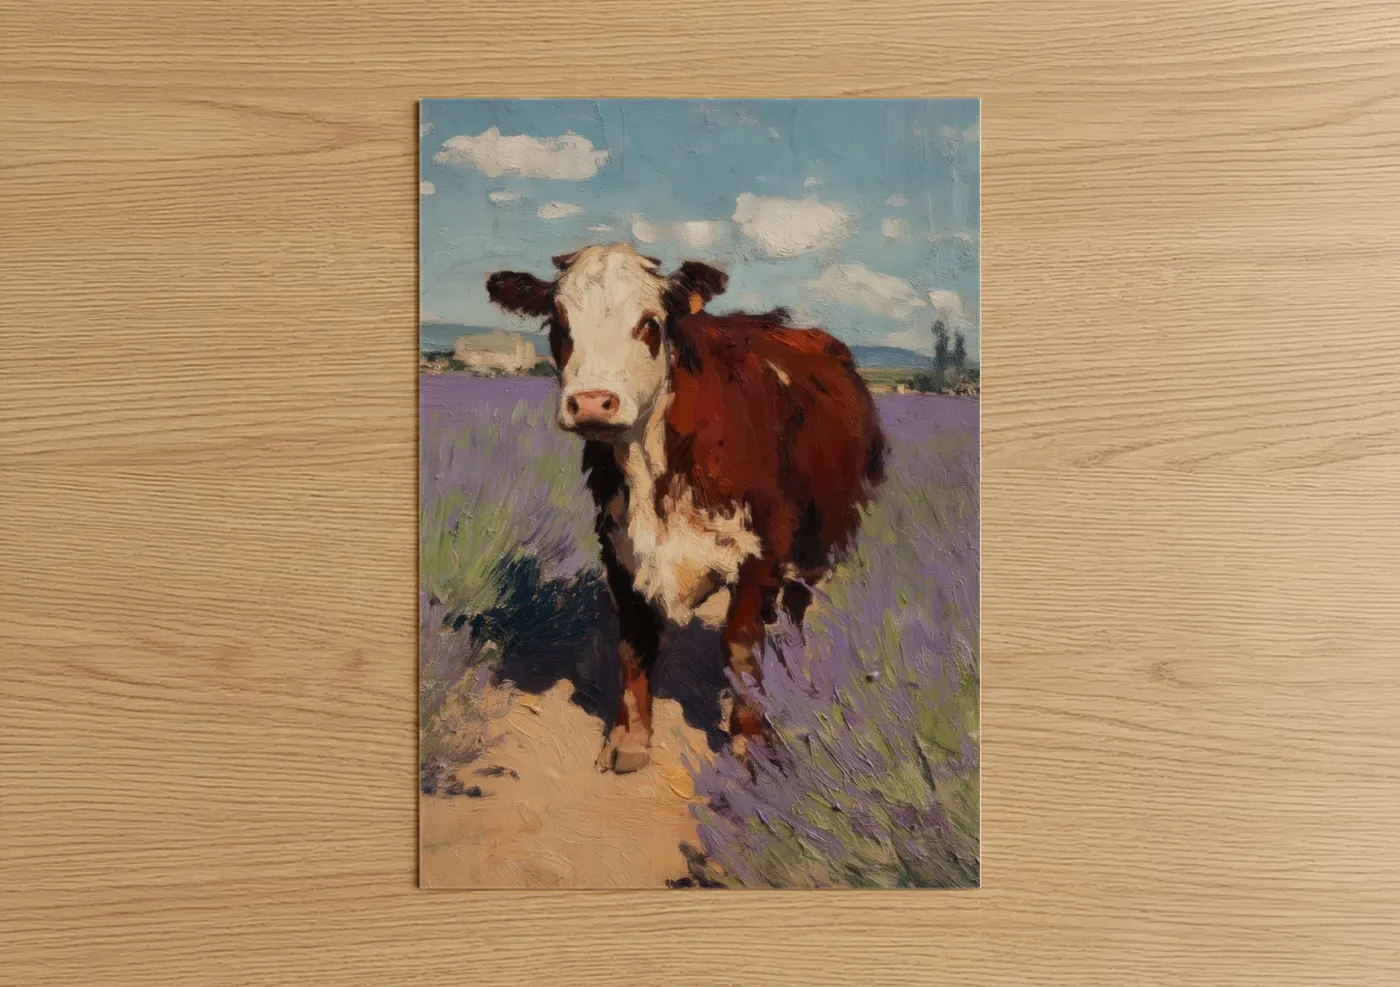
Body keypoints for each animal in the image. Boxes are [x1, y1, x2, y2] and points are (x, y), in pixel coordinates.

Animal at [486, 243, 887, 773]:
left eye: (650, 324)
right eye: (558, 323)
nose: (592, 403)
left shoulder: (763, 550)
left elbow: (741, 648)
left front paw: (751, 743)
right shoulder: (619, 548)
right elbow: (633, 645)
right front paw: (630, 737)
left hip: (822, 540)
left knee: (798, 606)